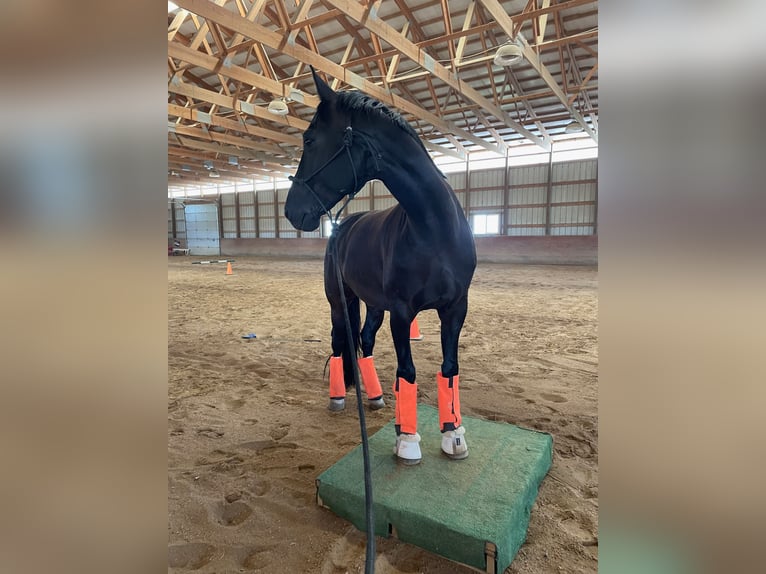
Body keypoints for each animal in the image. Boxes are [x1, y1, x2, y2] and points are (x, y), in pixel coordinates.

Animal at [285, 68, 476, 464]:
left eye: (309, 139)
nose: (292, 211)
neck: (434, 228)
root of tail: (344, 226)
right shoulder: (403, 313)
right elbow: (408, 371)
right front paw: (408, 441)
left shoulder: (455, 308)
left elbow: (449, 368)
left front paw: (453, 434)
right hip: (339, 302)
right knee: (339, 342)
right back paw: (339, 397)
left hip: (373, 304)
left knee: (365, 340)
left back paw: (373, 396)